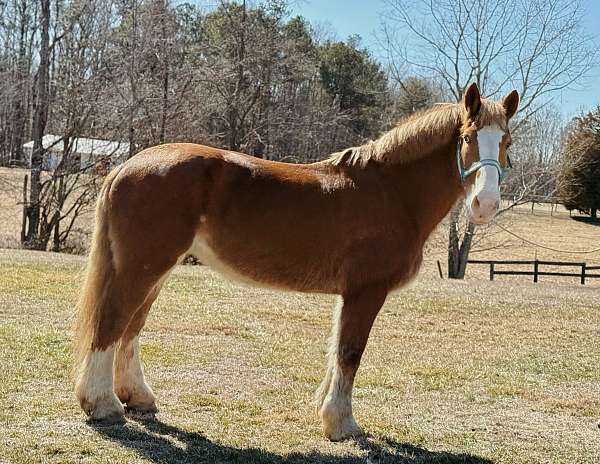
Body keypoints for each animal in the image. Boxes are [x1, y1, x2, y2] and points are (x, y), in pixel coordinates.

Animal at [74, 83, 516, 442]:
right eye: (467, 137)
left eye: (506, 142)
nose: (485, 204)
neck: (391, 192)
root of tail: (126, 165)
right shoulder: (366, 291)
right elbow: (351, 352)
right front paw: (341, 424)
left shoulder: (349, 294)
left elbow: (337, 350)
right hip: (143, 266)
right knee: (112, 323)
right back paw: (104, 405)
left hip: (154, 269)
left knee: (131, 328)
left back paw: (138, 398)